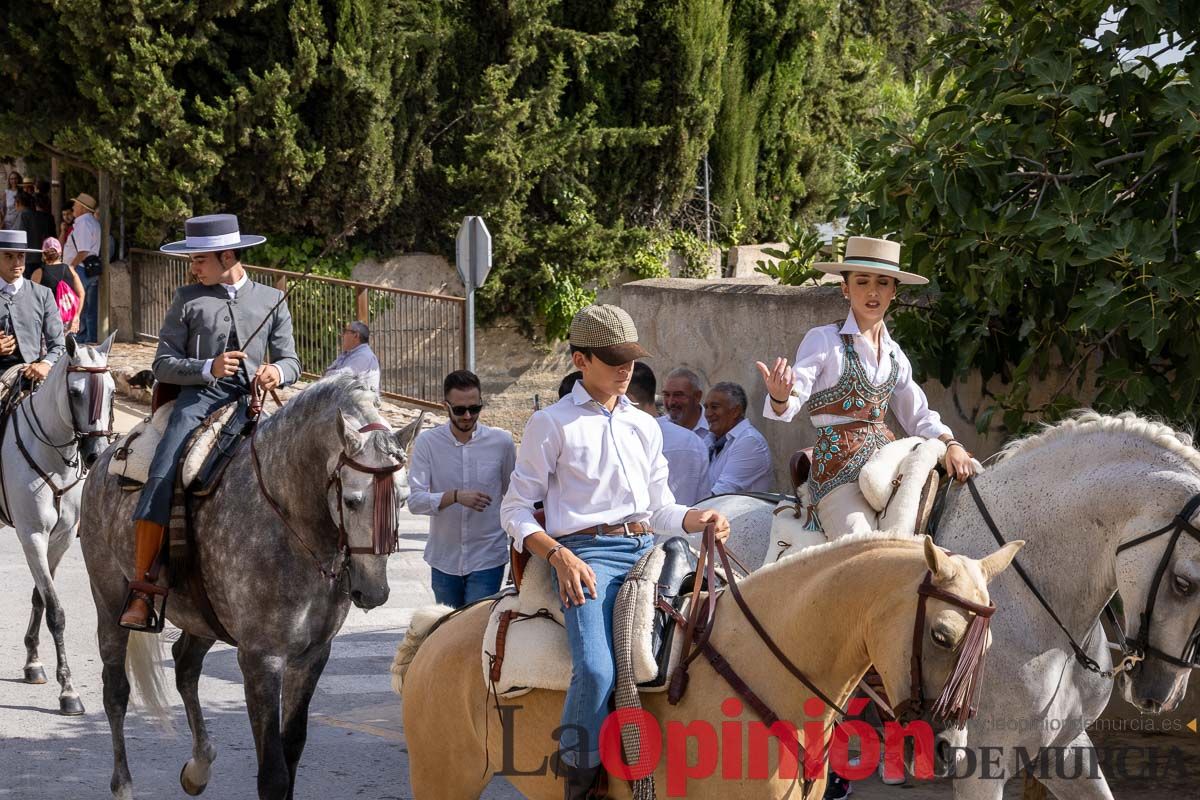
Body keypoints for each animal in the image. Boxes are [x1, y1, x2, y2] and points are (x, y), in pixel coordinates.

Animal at [0, 335, 116, 714]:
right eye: (76, 392)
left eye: (112, 390)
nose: (95, 453)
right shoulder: (32, 535)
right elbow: (56, 611)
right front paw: (68, 691)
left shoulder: (61, 538)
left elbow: (40, 597)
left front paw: (33, 663)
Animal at [79, 376, 422, 800]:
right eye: (352, 499)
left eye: (403, 499)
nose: (373, 591)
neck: (292, 524)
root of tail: (105, 459)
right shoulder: (261, 659)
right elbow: (273, 773)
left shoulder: (312, 656)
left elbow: (292, 750)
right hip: (109, 600)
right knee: (116, 690)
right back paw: (123, 783)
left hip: (201, 616)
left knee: (185, 665)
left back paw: (199, 767)